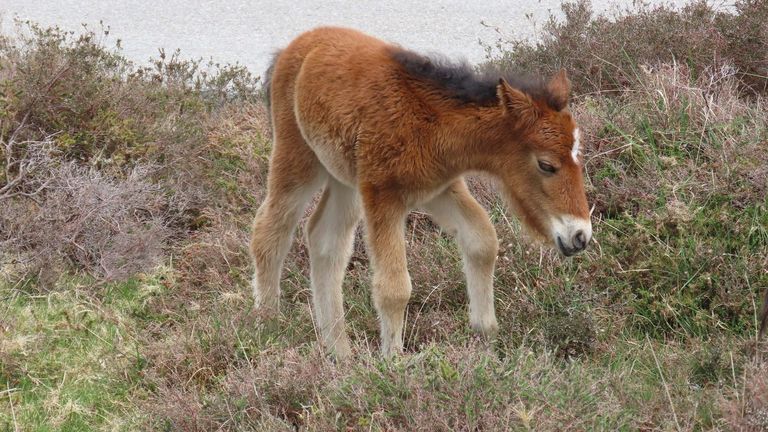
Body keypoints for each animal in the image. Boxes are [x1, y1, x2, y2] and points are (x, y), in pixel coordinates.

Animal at [249, 27, 592, 358]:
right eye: (546, 165)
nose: (580, 236)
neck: (433, 124)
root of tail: (293, 47)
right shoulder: (383, 196)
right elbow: (394, 287)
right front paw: (393, 362)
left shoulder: (439, 190)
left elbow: (482, 241)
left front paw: (486, 340)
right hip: (298, 158)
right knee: (270, 229)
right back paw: (269, 326)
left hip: (343, 179)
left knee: (325, 240)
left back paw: (339, 354)